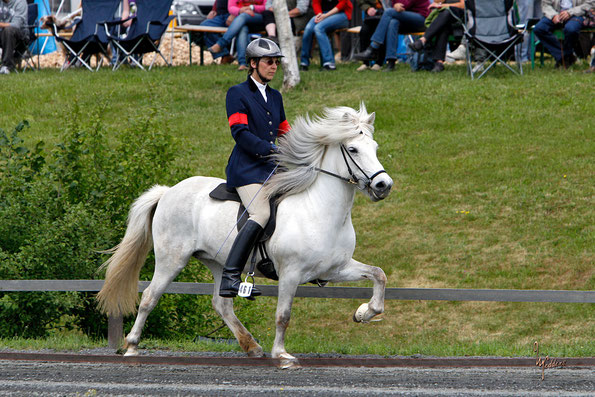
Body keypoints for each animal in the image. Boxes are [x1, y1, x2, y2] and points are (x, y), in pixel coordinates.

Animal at [96, 103, 396, 366]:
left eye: (375, 148)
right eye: (353, 149)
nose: (383, 185)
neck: (321, 209)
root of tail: (169, 191)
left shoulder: (335, 269)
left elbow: (379, 274)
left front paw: (364, 313)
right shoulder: (291, 273)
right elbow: (283, 314)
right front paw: (282, 355)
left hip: (219, 262)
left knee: (221, 304)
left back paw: (251, 346)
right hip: (172, 259)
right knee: (149, 297)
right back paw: (131, 346)